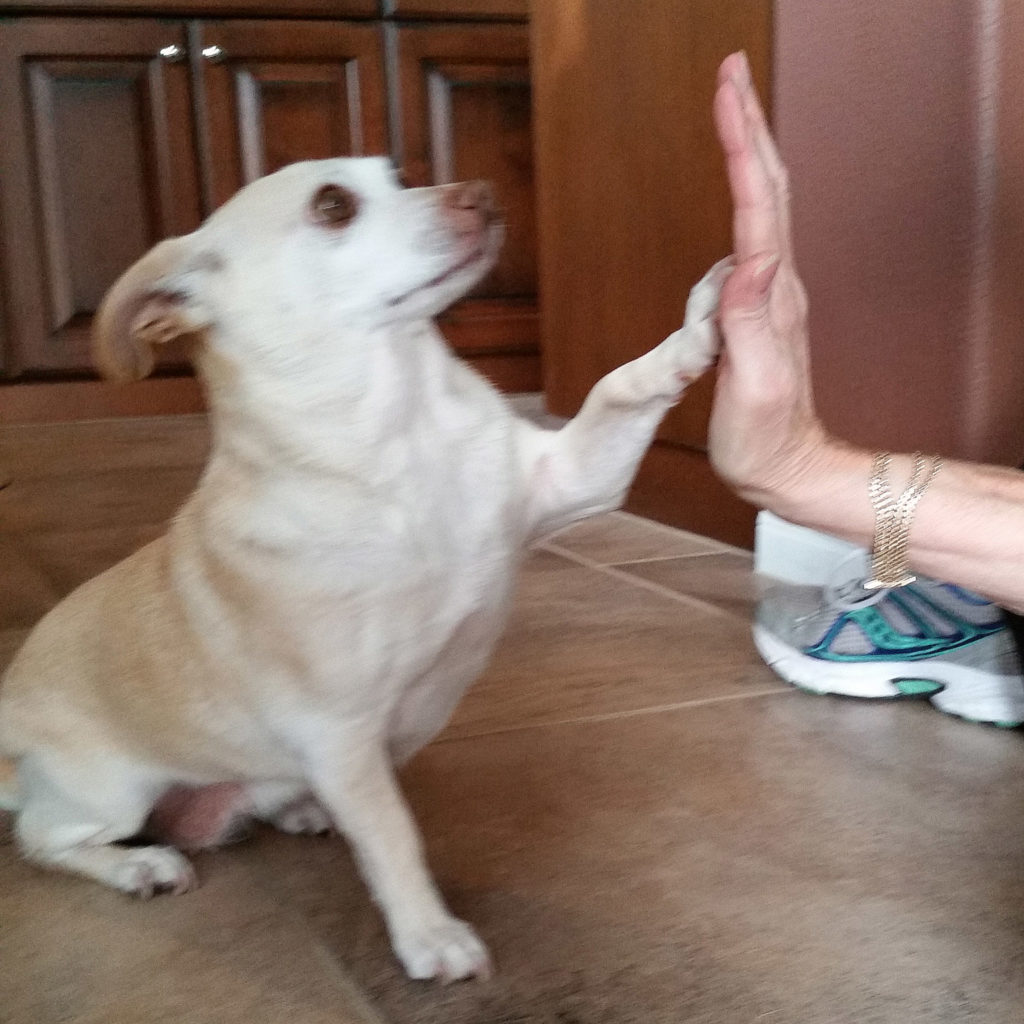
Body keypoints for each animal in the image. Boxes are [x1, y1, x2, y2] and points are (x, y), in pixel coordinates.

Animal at [0, 155, 729, 978]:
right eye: (332, 206)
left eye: (400, 174)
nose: (481, 192)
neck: (399, 433)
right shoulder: (339, 730)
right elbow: (392, 833)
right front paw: (430, 936)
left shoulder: (576, 477)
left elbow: (619, 387)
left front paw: (698, 326)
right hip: (112, 792)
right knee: (44, 839)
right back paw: (137, 865)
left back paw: (294, 807)